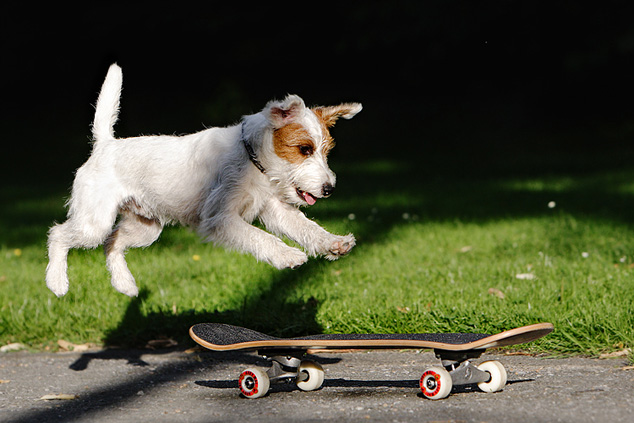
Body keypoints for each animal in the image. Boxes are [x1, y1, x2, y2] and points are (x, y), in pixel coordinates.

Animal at [45, 64, 360, 300]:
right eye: (304, 149)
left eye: (326, 151)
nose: (329, 188)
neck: (251, 158)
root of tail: (105, 145)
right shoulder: (220, 218)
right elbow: (261, 237)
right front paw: (288, 255)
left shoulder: (274, 209)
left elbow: (307, 228)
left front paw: (334, 243)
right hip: (93, 223)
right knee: (59, 234)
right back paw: (57, 282)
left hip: (145, 227)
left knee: (112, 243)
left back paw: (125, 284)